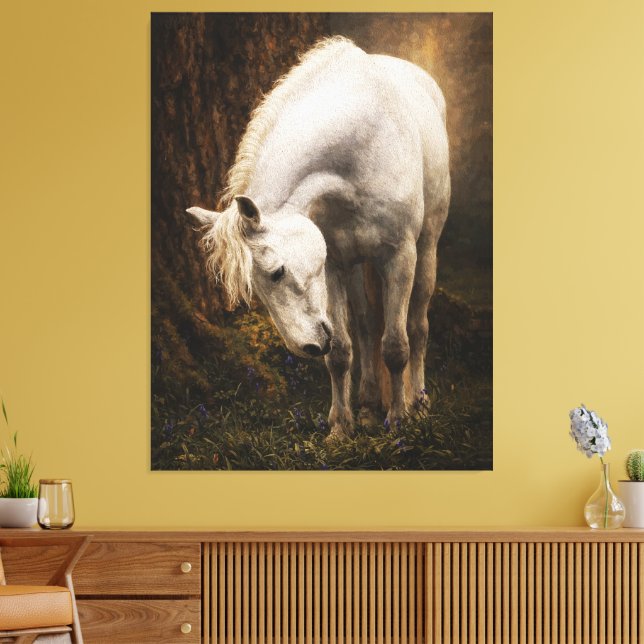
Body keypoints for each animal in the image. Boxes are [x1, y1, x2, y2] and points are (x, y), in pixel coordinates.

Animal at [188, 36, 450, 441]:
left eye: (276, 272)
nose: (307, 347)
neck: (363, 149)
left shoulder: (399, 257)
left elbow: (395, 345)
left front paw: (398, 422)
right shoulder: (333, 265)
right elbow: (341, 351)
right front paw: (341, 428)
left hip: (427, 247)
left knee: (417, 326)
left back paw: (417, 403)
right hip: (356, 265)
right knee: (365, 326)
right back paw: (370, 404)